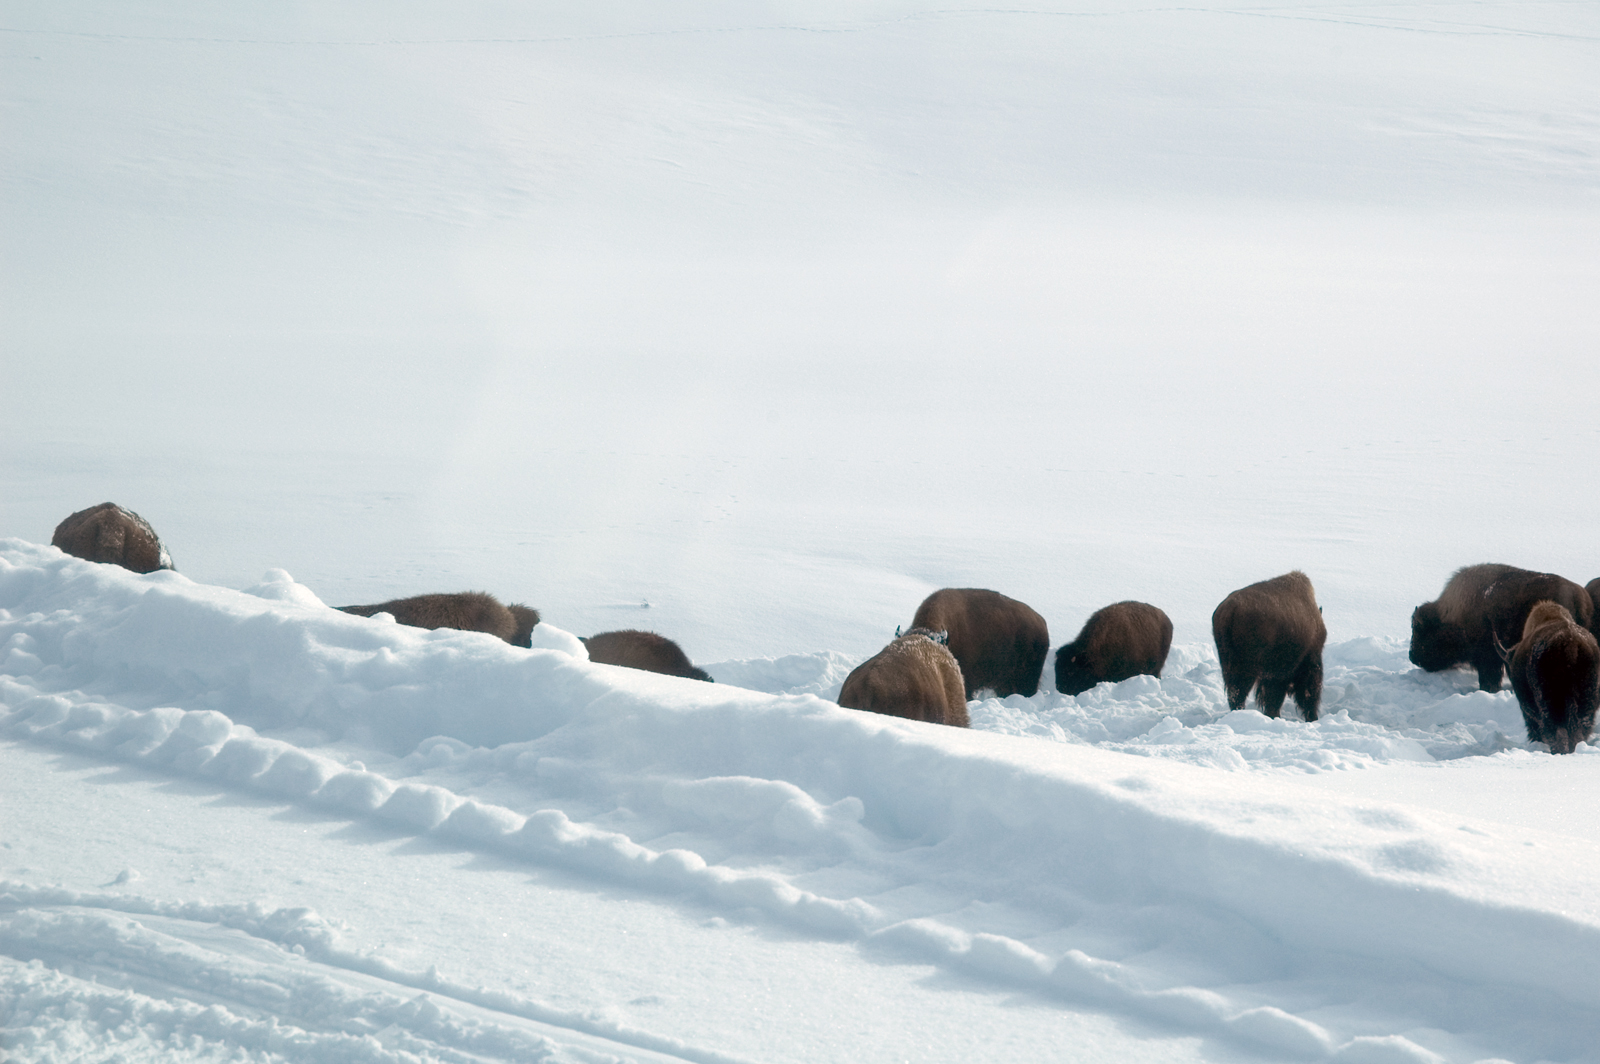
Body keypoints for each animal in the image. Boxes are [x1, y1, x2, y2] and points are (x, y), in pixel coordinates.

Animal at [1212, 571, 1326, 720]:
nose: (1313, 717)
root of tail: (1230, 610)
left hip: (1228, 665)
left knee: (1234, 693)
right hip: (1248, 668)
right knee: (1239, 693)